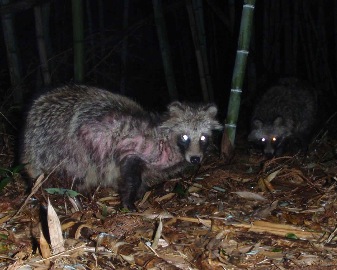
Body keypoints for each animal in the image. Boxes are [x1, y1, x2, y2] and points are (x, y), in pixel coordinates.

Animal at [20, 85, 220, 210]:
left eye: (203, 137)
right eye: (185, 137)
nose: (195, 158)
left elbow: (143, 180)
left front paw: (139, 196)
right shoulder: (132, 149)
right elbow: (131, 178)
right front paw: (128, 202)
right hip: (63, 146)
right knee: (73, 171)